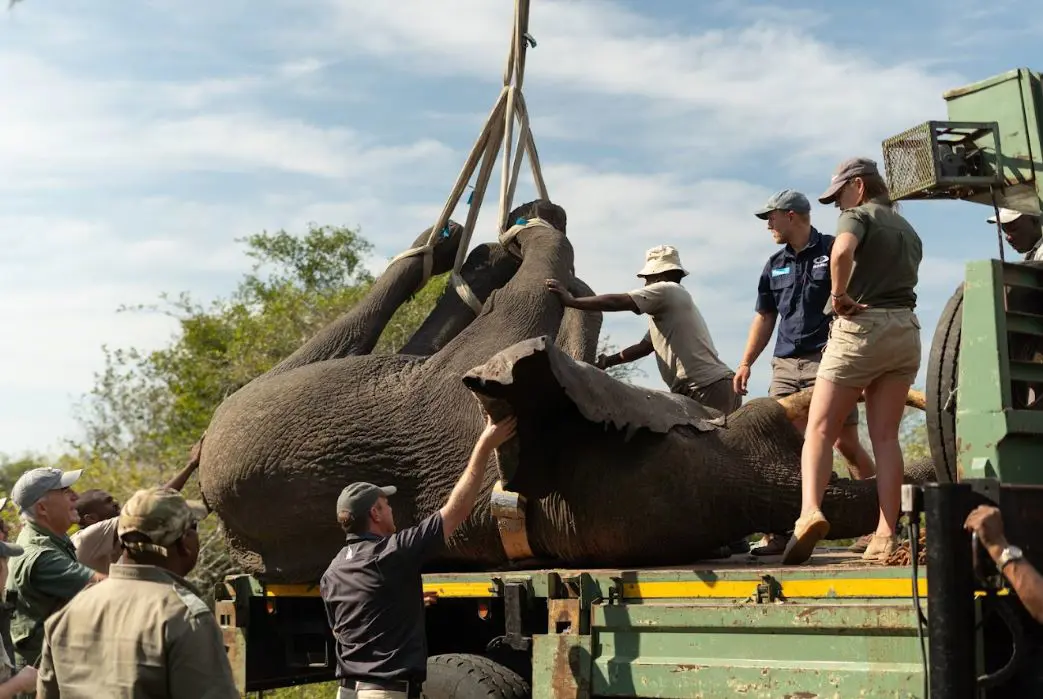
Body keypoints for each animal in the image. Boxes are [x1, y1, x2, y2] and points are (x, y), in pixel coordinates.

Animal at [198, 199, 931, 584]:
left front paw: (528, 235)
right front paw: (531, 230)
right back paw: (449, 249)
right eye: (727, 428)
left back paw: (454, 252)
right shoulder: (458, 389)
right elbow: (535, 292)